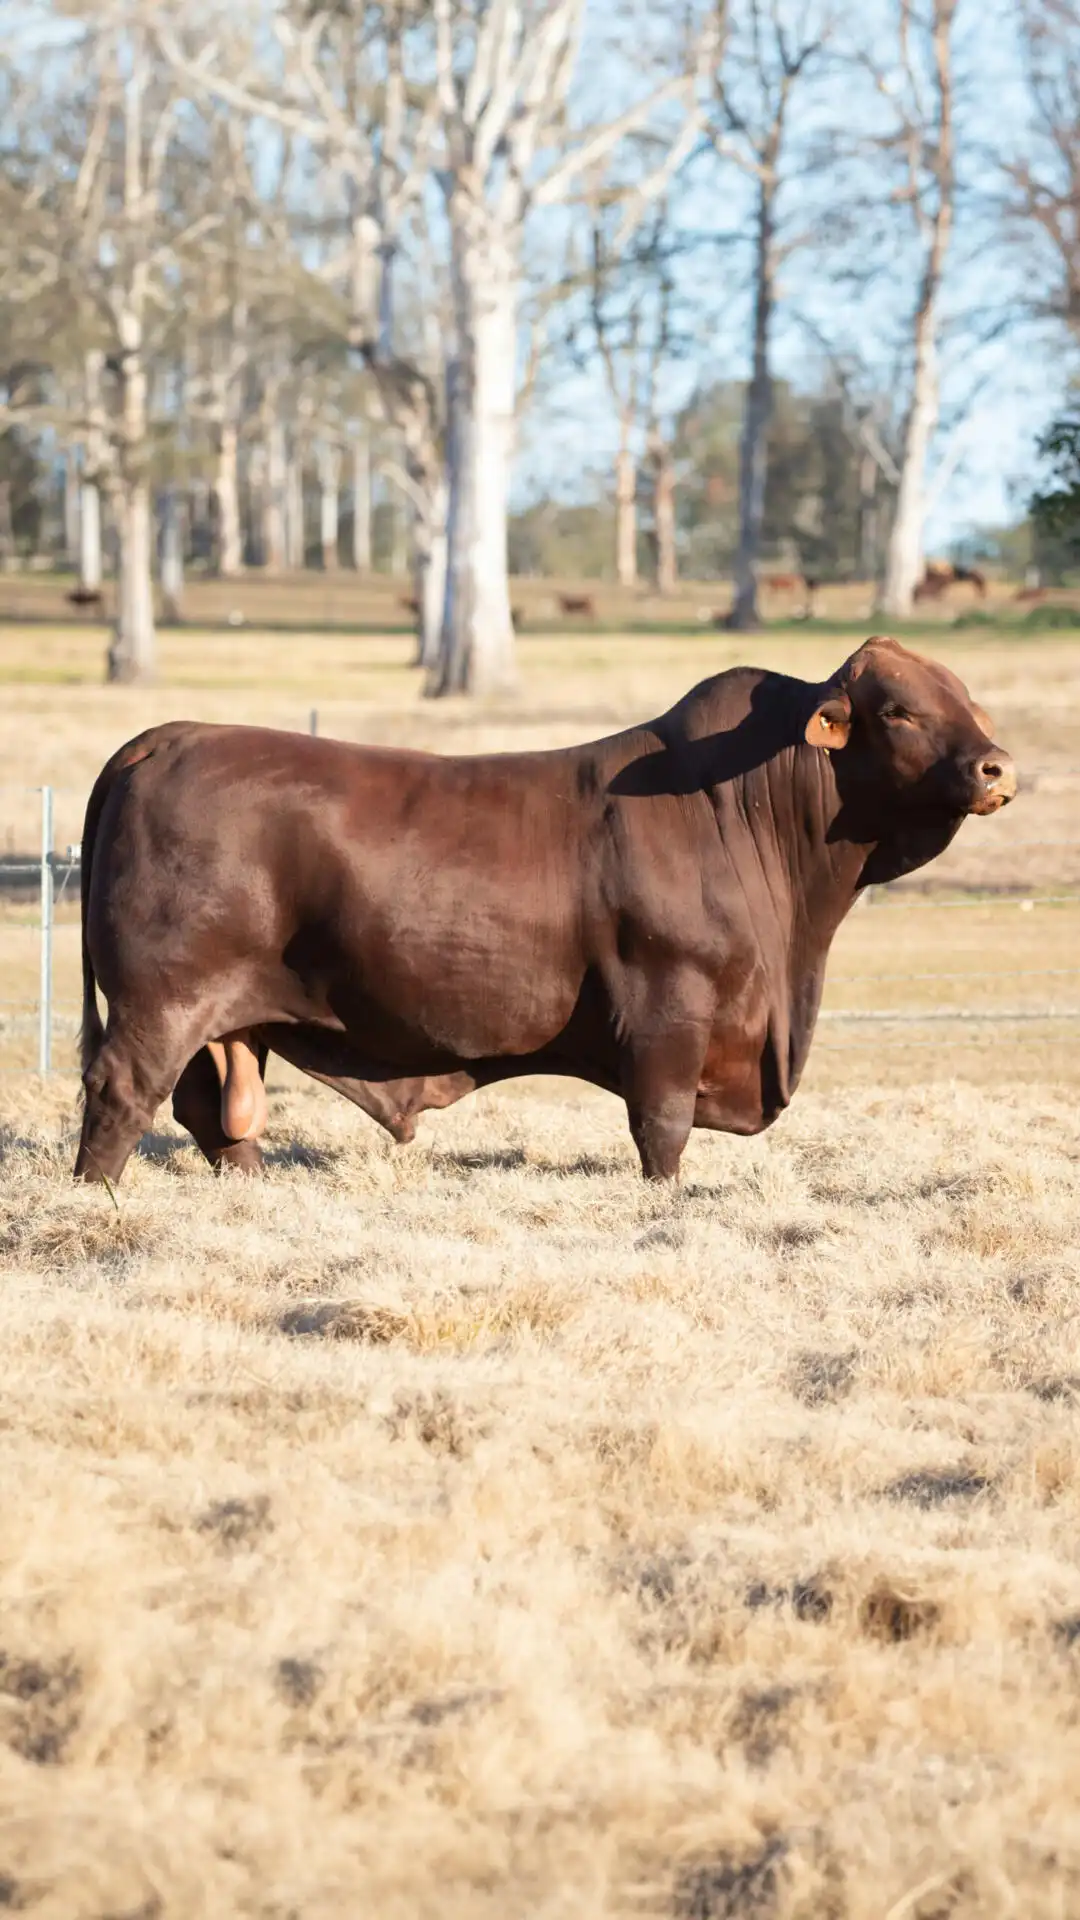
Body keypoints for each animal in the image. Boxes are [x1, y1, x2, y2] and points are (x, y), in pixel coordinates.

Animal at [74, 636, 1016, 1190]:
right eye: (897, 709)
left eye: (971, 701)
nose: (996, 767)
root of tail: (171, 735)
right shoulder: (669, 1008)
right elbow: (662, 1128)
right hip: (162, 997)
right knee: (123, 1091)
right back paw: (100, 1198)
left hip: (227, 1016)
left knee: (213, 1108)